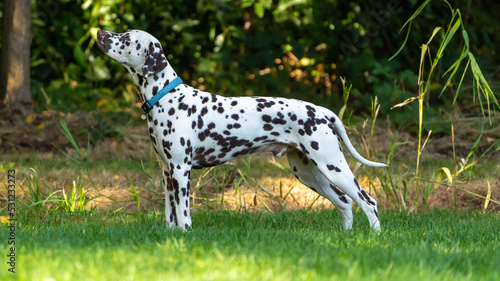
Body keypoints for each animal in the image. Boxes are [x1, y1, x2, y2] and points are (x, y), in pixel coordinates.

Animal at [96, 29, 386, 230]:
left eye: (126, 38)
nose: (99, 32)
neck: (166, 96)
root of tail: (323, 112)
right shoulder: (167, 172)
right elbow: (170, 217)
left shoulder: (181, 171)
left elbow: (184, 216)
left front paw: (185, 238)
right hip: (310, 174)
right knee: (345, 203)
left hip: (334, 168)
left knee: (368, 203)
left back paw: (374, 239)